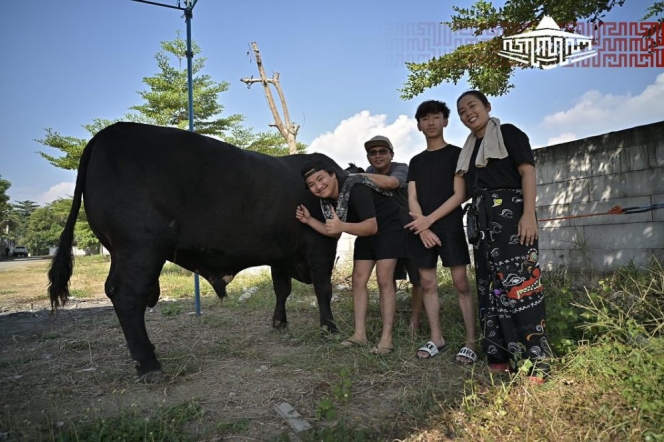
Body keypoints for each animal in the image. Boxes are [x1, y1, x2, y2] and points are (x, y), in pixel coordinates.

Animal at [49, 122, 344, 382]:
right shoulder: (321, 244)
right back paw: (150, 366)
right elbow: (323, 288)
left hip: (120, 251)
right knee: (128, 296)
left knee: (114, 290)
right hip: (141, 248)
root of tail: (106, 133)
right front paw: (330, 328)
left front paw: (279, 323)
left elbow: (281, 289)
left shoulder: (280, 254)